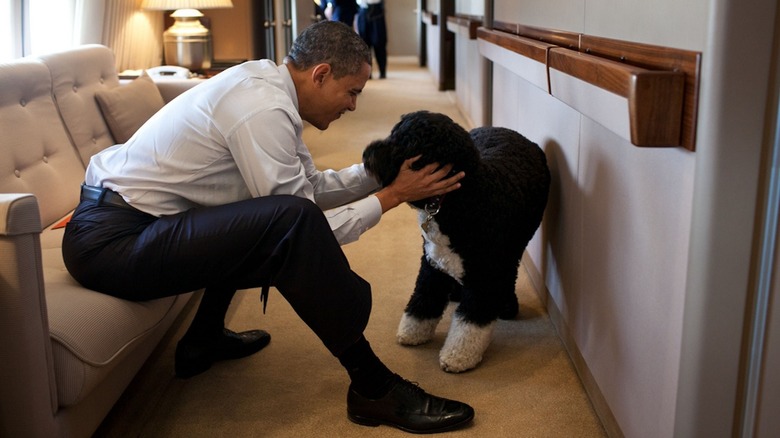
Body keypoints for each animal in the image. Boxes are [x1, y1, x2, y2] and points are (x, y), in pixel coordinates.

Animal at [364, 111, 552, 372]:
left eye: (407, 144)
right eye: (393, 133)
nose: (367, 153)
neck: (464, 198)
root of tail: (505, 129)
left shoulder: (485, 274)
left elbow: (470, 323)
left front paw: (458, 356)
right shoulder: (432, 263)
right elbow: (423, 299)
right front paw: (413, 332)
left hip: (516, 244)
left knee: (510, 273)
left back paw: (505, 304)